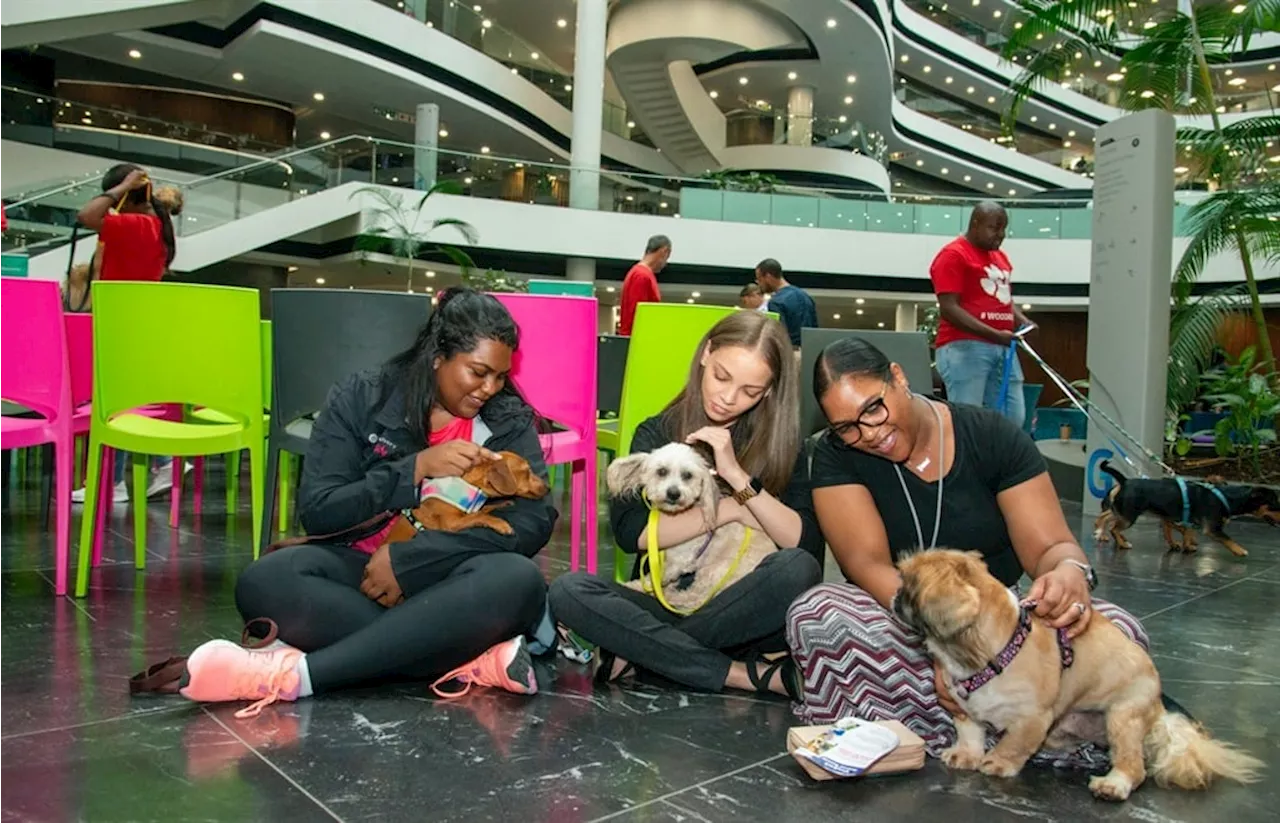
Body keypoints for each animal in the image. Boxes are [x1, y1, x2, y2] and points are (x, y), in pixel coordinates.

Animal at [604, 445, 773, 611]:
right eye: (662, 471)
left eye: (688, 475)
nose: (673, 493)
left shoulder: (679, 560)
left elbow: (655, 578)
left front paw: (638, 586)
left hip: (716, 570)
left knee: (696, 599)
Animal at [896, 550, 1264, 803]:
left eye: (909, 586)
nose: (896, 596)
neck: (994, 654)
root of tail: (1159, 708)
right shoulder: (963, 707)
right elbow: (971, 732)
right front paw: (966, 755)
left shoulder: (1033, 718)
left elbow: (1014, 745)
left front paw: (996, 763)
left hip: (1122, 717)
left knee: (1134, 767)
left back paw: (1113, 785)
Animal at [1090, 460, 1280, 558]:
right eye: (1274, 504)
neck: (1227, 496)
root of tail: (1125, 481)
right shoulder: (1212, 529)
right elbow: (1228, 538)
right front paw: (1240, 550)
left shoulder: (1186, 521)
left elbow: (1187, 532)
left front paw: (1187, 546)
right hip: (1129, 516)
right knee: (1114, 527)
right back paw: (1120, 542)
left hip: (1123, 512)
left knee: (1108, 518)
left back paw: (1103, 533)